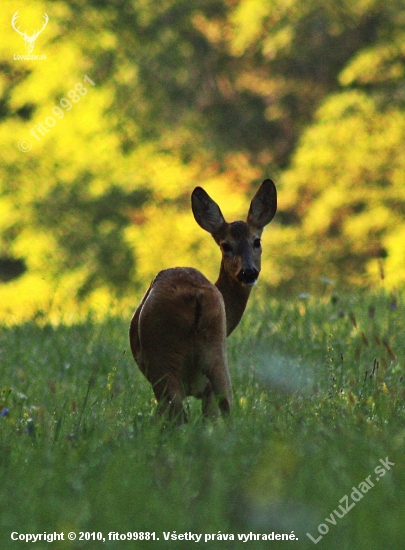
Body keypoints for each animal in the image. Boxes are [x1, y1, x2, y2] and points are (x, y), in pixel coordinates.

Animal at [128, 179, 276, 424]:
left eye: (257, 241)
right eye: (226, 245)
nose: (248, 272)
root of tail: (196, 296)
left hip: (162, 357)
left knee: (177, 413)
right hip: (215, 348)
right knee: (226, 402)